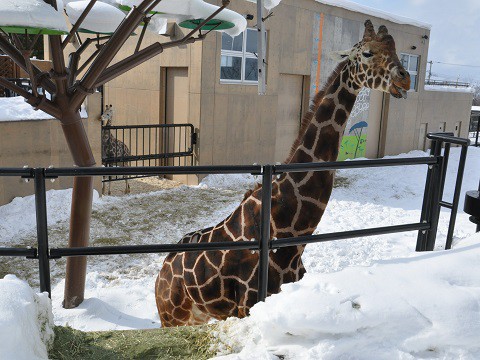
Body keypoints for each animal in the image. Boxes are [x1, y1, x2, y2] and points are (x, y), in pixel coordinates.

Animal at [156, 21, 410, 328]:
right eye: (368, 53)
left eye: (396, 51)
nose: (405, 79)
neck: (291, 233)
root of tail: (159, 278)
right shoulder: (248, 306)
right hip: (173, 319)